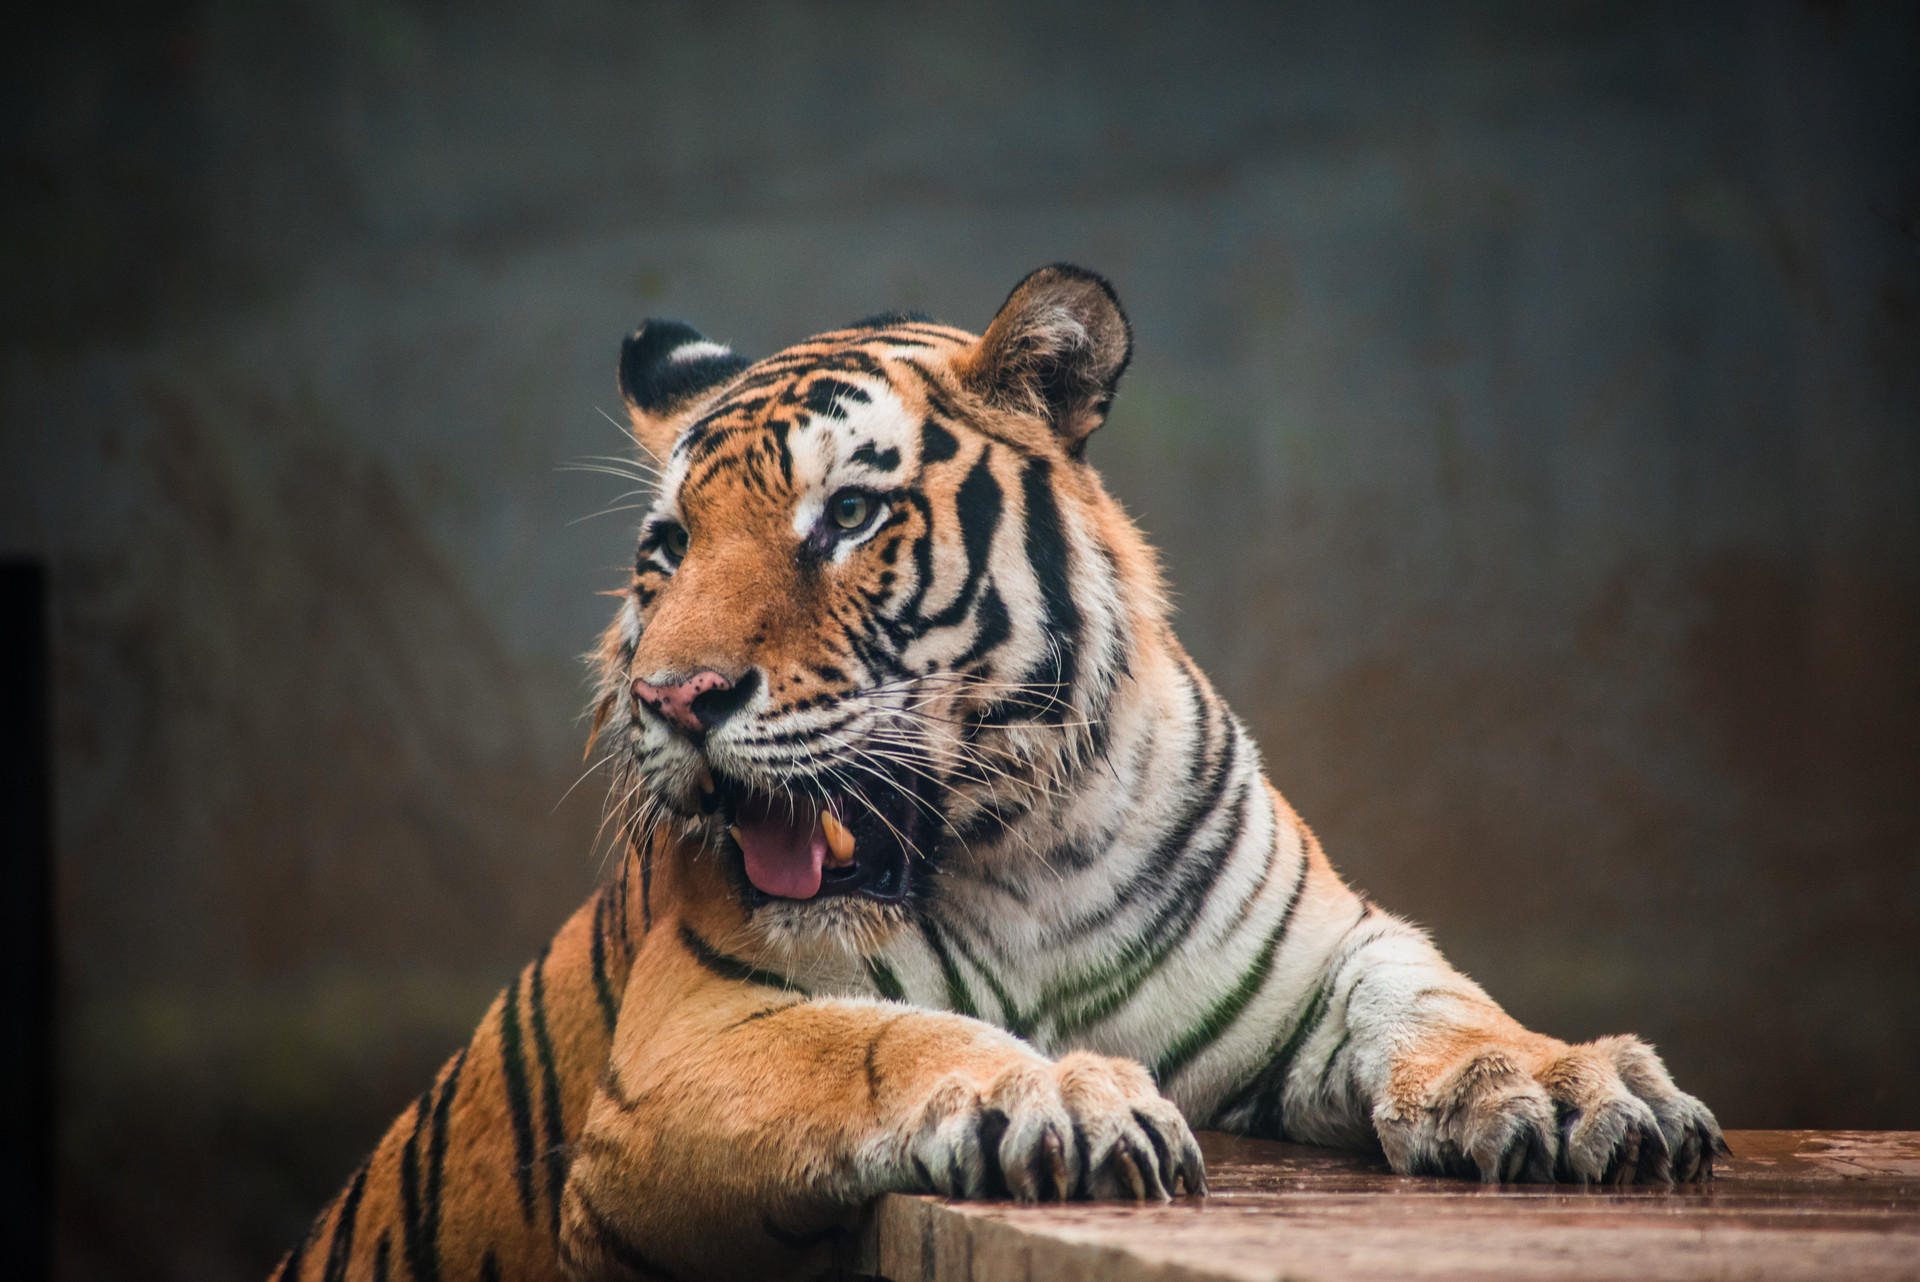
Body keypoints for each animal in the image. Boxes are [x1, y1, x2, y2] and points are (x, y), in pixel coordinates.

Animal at [274, 262, 1728, 1282]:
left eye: (848, 515)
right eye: (668, 548)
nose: (672, 699)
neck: (1030, 853)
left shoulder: (1325, 950)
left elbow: (1442, 1002)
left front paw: (1568, 1086)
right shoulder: (687, 1043)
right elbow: (881, 1038)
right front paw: (1061, 1090)